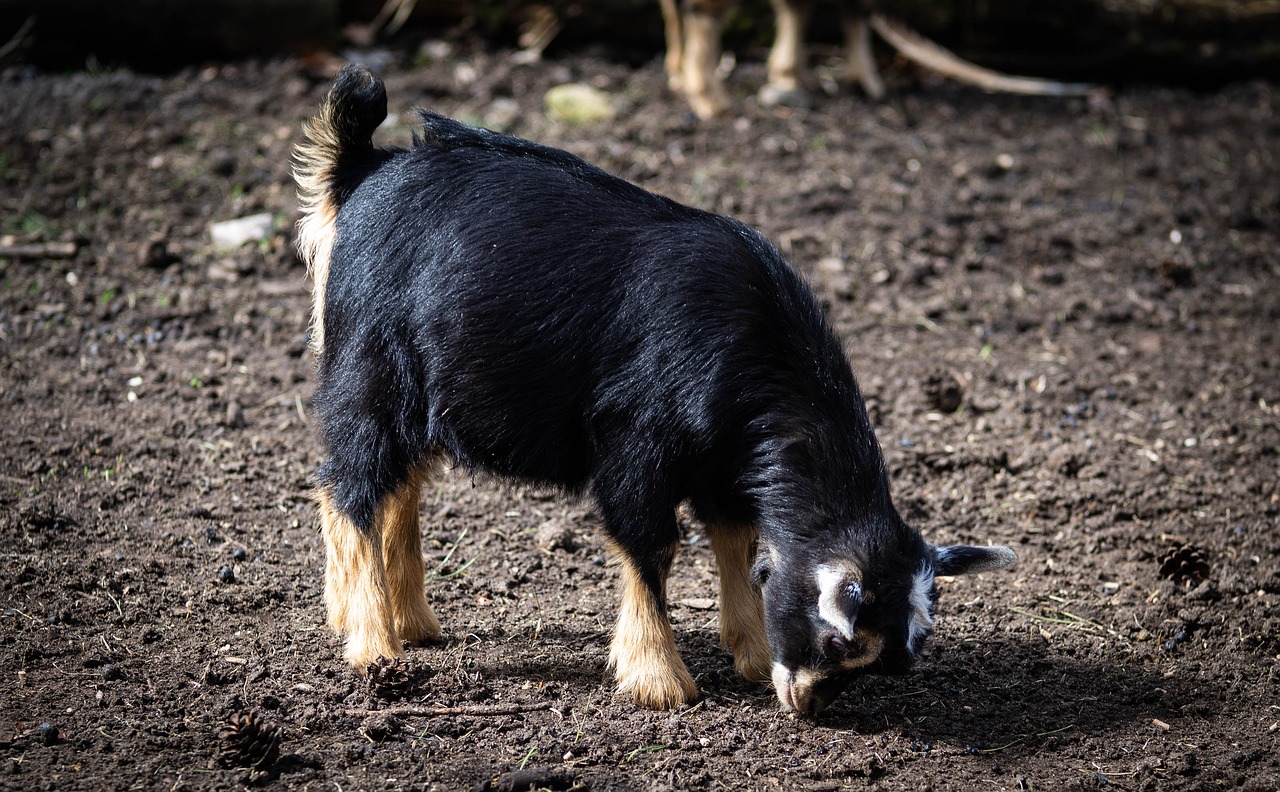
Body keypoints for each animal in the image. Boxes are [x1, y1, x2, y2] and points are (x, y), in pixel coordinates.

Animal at [294, 64, 1013, 716]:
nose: (806, 705)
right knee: (350, 488)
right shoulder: (635, 439)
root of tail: (361, 169)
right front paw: (658, 679)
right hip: (372, 370)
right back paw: (374, 645)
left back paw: (410, 623)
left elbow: (737, 541)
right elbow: (650, 543)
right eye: (839, 642)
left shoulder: (725, 464)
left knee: (396, 486)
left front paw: (752, 657)